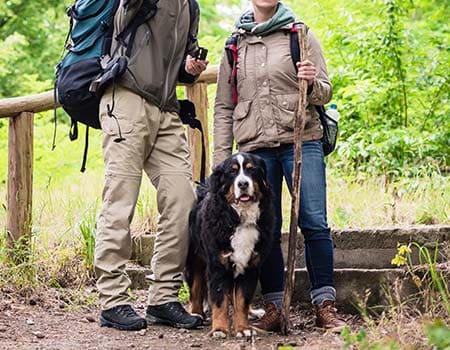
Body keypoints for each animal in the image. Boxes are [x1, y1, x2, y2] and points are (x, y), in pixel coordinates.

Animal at [184, 152, 274, 338]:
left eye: (251, 169)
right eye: (232, 172)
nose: (243, 184)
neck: (240, 219)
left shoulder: (250, 266)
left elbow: (242, 300)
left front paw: (243, 328)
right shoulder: (218, 266)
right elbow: (220, 300)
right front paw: (219, 329)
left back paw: (253, 312)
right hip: (194, 260)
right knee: (195, 289)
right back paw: (196, 314)